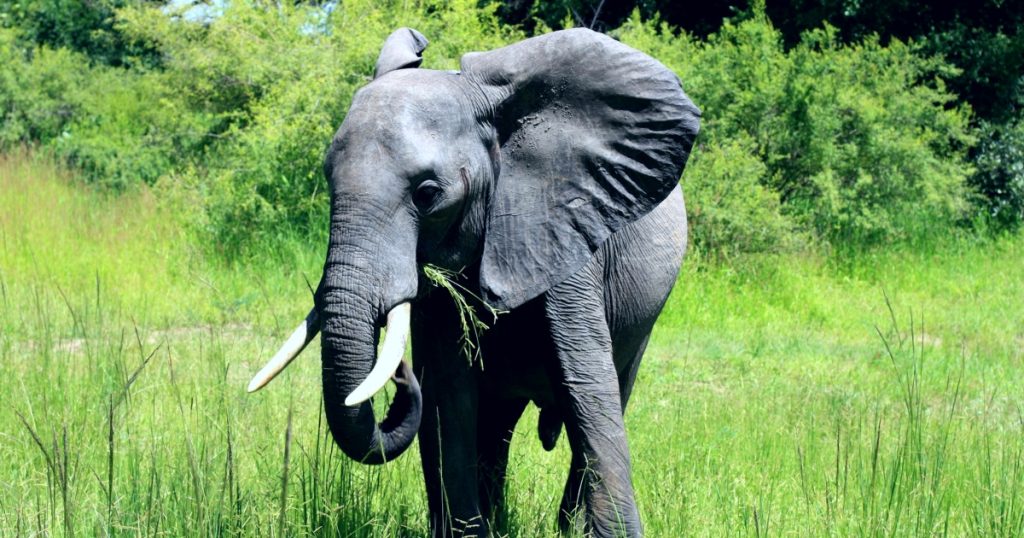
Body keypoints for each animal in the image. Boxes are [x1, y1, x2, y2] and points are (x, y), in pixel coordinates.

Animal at [244, 27, 700, 532]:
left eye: (427, 194)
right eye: (328, 178)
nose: (399, 372)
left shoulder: (562, 230)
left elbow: (588, 391)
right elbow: (449, 398)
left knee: (612, 389)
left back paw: (565, 526)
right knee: (495, 422)